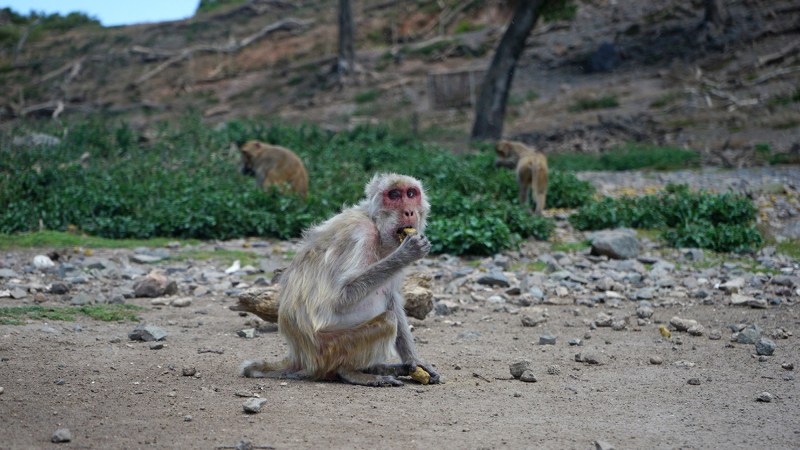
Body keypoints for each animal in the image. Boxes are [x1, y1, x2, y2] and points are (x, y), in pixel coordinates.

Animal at [241, 172, 440, 386]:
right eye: (394, 195)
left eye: (411, 194)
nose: (409, 211)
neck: (377, 227)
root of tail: (300, 357)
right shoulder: (362, 234)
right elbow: (339, 299)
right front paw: (406, 253)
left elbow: (391, 297)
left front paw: (415, 362)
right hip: (330, 349)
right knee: (387, 320)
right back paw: (352, 372)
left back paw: (381, 368)